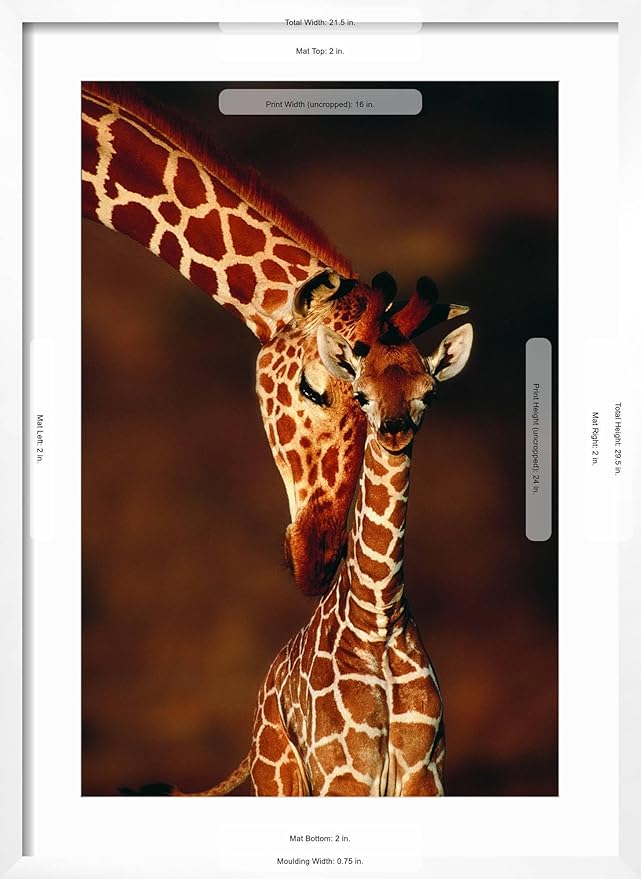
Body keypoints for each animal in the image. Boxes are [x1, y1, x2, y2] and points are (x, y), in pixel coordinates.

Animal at [169, 290, 472, 796]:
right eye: (361, 393)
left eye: (428, 393)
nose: (394, 429)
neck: (379, 618)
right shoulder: (344, 774)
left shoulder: (424, 772)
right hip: (279, 778)